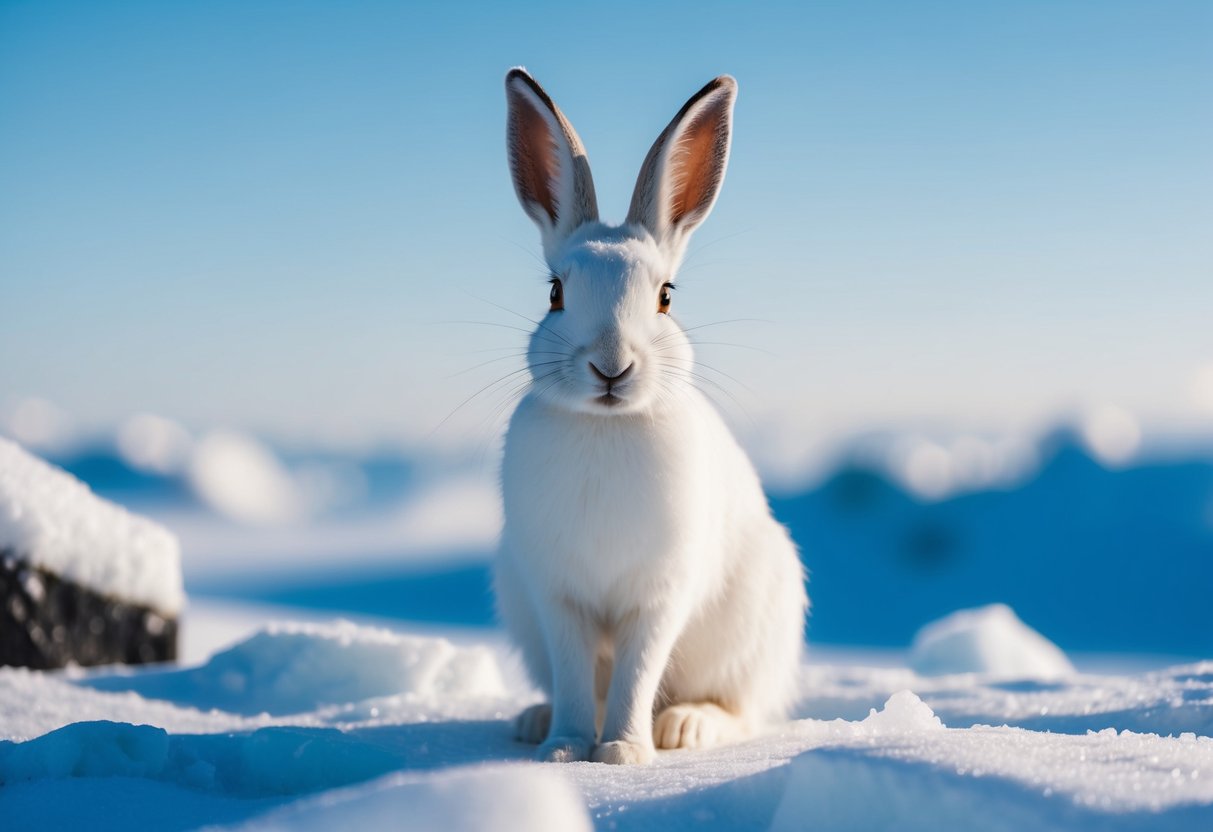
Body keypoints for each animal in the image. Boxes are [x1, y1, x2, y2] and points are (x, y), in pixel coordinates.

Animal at [494, 67, 808, 766]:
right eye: (555, 293)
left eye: (665, 297)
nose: (611, 366)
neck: (607, 425)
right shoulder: (557, 597)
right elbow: (577, 676)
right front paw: (564, 750)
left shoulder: (659, 596)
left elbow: (639, 671)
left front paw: (623, 755)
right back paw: (533, 719)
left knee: (745, 712)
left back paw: (688, 727)